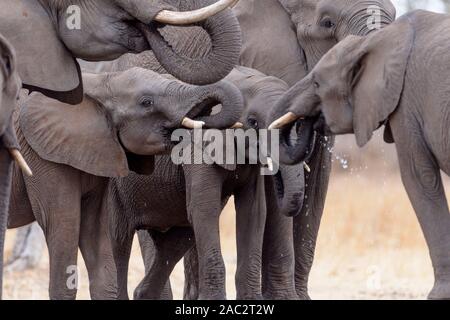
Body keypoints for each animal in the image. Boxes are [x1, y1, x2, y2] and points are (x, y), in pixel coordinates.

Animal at [100, 65, 304, 300]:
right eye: (253, 122)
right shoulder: (196, 150)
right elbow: (205, 209)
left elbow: (253, 213)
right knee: (119, 241)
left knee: (175, 243)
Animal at [270, 10, 450, 300]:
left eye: (317, 82)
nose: (310, 120)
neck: (374, 41)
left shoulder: (406, 103)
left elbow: (418, 178)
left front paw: (439, 295)